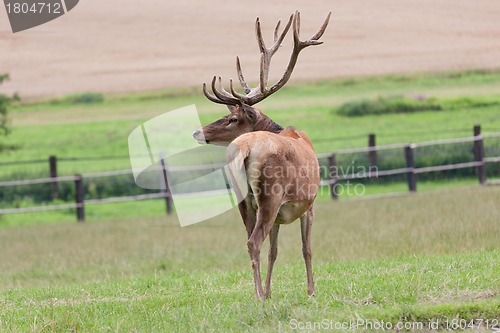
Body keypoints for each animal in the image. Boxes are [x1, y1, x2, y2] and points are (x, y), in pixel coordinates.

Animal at [193, 11, 330, 300]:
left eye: (232, 118)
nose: (197, 131)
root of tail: (245, 149)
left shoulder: (281, 213)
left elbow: (274, 251)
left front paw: (269, 290)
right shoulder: (309, 204)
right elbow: (306, 248)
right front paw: (311, 290)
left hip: (243, 198)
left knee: (249, 239)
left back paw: (260, 293)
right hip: (271, 195)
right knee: (255, 241)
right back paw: (257, 296)